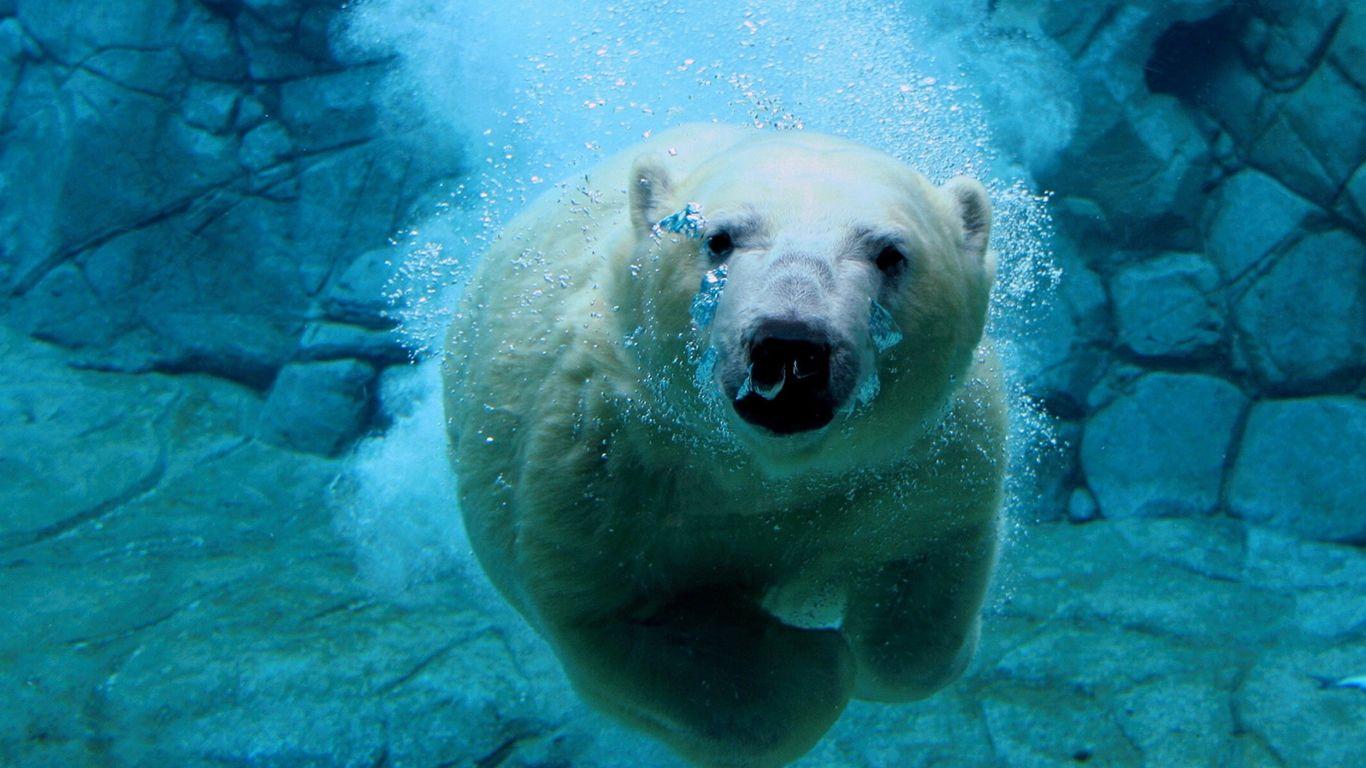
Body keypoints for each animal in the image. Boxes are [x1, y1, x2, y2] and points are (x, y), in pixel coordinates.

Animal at [443, 124, 1005, 768]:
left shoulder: (924, 455)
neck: (761, 471)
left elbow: (928, 573)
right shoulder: (601, 463)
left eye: (890, 253)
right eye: (718, 238)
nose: (791, 345)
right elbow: (619, 619)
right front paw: (815, 659)